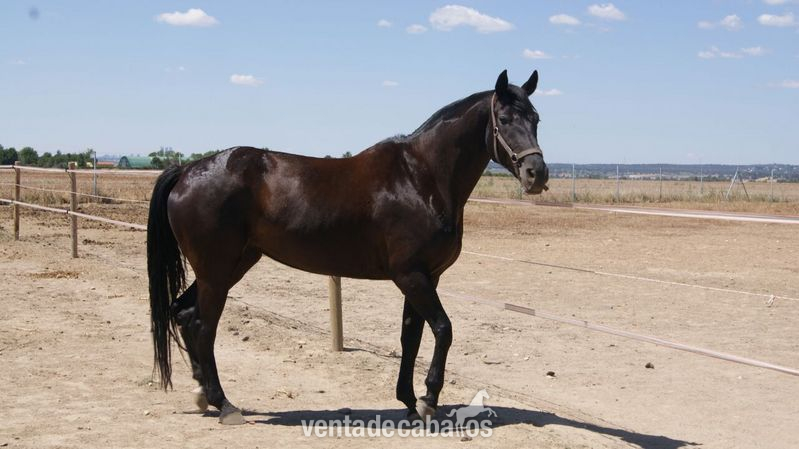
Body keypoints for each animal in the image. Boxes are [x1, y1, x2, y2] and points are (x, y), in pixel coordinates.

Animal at [147, 69, 549, 425]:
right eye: (504, 118)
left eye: (536, 119)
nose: (537, 174)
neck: (420, 179)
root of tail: (186, 171)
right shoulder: (411, 276)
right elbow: (443, 329)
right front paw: (428, 400)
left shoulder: (424, 277)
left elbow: (411, 337)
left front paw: (408, 400)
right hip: (216, 273)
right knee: (203, 326)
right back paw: (224, 404)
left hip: (230, 266)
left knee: (184, 315)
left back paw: (203, 395)